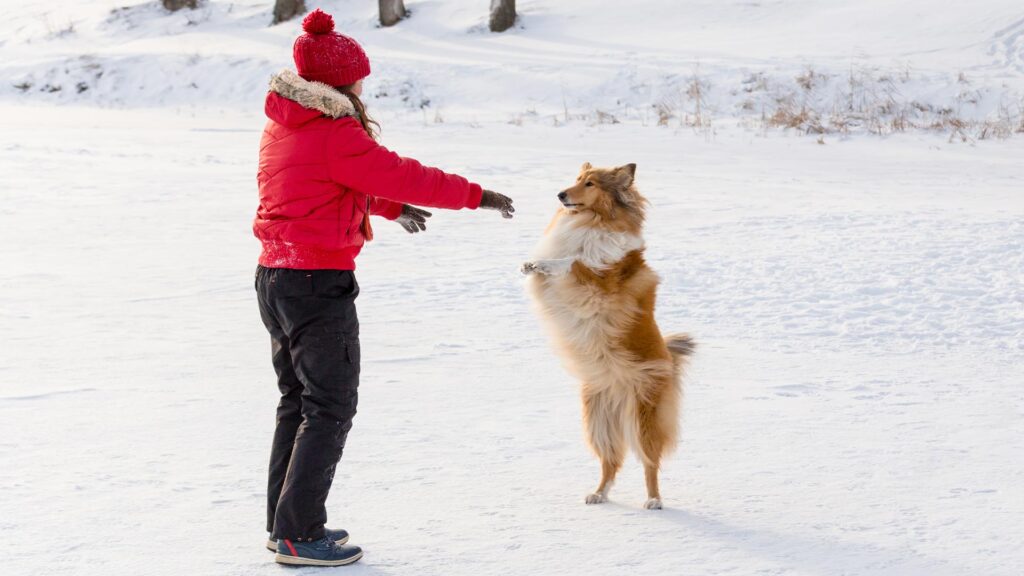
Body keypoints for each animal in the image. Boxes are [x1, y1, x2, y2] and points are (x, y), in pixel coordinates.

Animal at [520, 159, 696, 506]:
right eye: (577, 178)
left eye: (590, 184)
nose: (560, 195)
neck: (593, 221)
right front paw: (533, 265)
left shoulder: (601, 283)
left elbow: (574, 262)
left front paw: (548, 263)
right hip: (598, 422)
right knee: (611, 461)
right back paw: (598, 494)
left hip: (643, 418)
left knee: (650, 463)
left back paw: (654, 500)